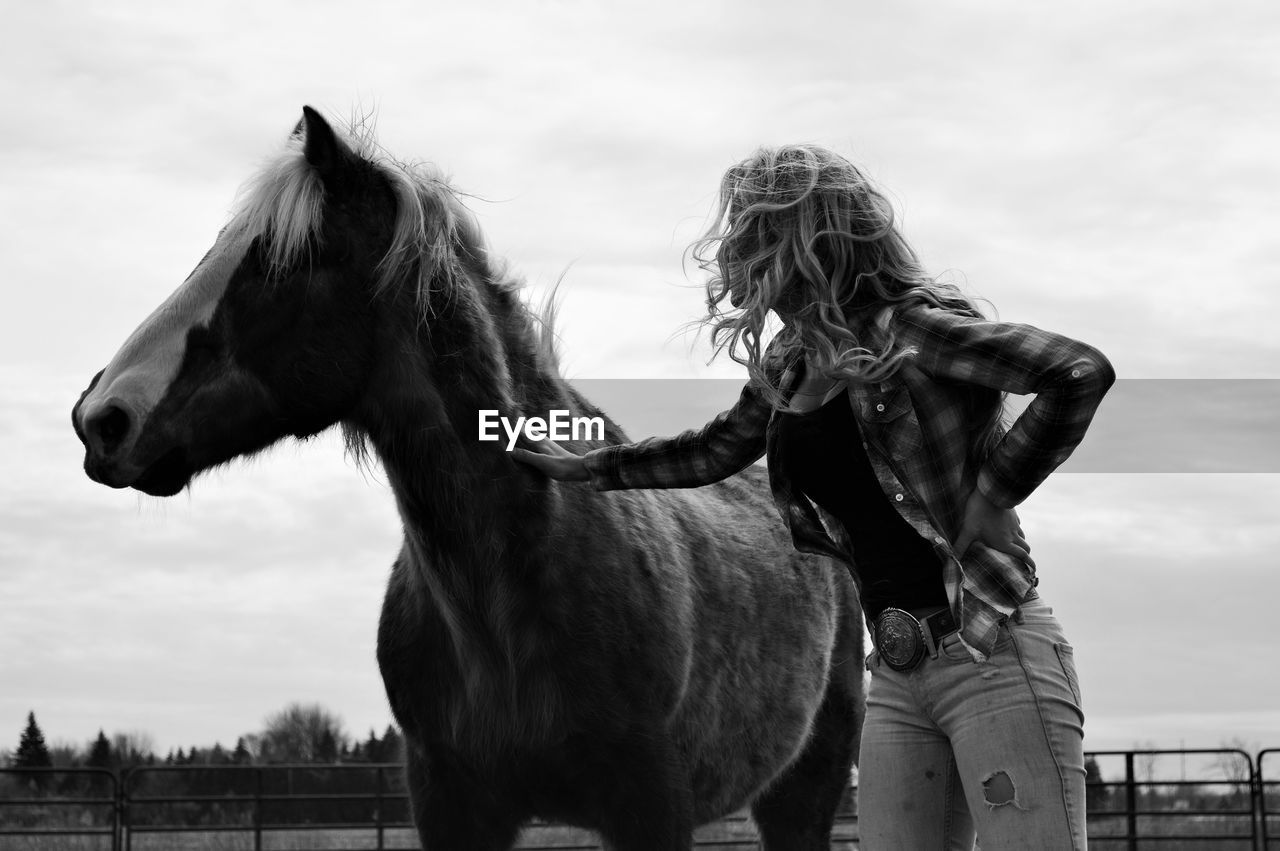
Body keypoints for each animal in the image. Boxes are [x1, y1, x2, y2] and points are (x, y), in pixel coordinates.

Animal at [74, 106, 865, 849]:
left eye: (283, 263)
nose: (100, 419)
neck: (502, 604)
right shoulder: (450, 806)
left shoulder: (652, 809)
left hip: (803, 795)